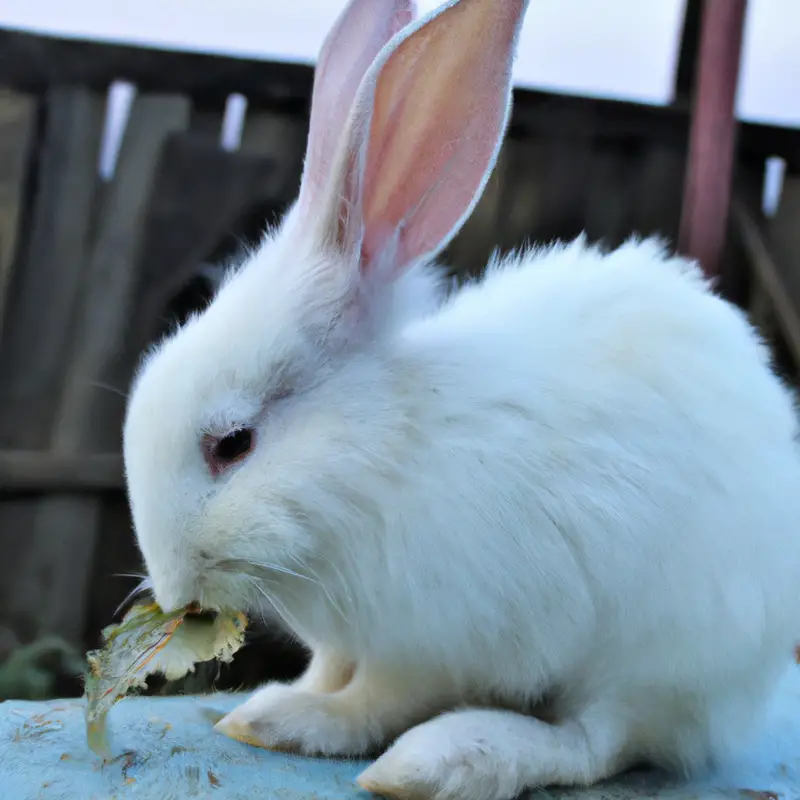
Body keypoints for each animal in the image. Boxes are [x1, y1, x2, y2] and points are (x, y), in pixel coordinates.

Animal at [122, 1, 800, 800]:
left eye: (232, 444)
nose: (171, 592)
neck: (379, 458)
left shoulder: (431, 644)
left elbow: (374, 700)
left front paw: (292, 723)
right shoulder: (349, 638)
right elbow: (330, 670)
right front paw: (275, 706)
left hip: (658, 653)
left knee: (595, 742)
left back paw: (445, 760)